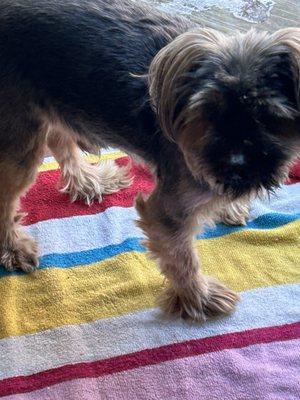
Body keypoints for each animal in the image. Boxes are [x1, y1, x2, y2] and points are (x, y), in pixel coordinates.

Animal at [0, 0, 300, 320]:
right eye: (209, 113)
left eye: (268, 117)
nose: (235, 165)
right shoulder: (169, 208)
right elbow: (182, 256)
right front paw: (198, 297)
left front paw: (229, 207)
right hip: (19, 135)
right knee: (7, 195)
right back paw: (14, 247)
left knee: (59, 137)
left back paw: (87, 181)